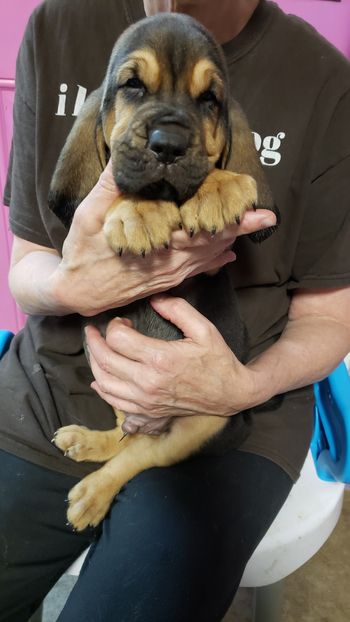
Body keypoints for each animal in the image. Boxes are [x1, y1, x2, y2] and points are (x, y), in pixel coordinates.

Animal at [50, 12, 278, 532]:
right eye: (133, 86)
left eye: (209, 99)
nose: (169, 145)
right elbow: (117, 174)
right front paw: (140, 210)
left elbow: (212, 171)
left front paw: (218, 188)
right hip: (118, 386)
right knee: (125, 437)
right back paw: (87, 443)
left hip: (202, 420)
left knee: (138, 454)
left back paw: (93, 493)